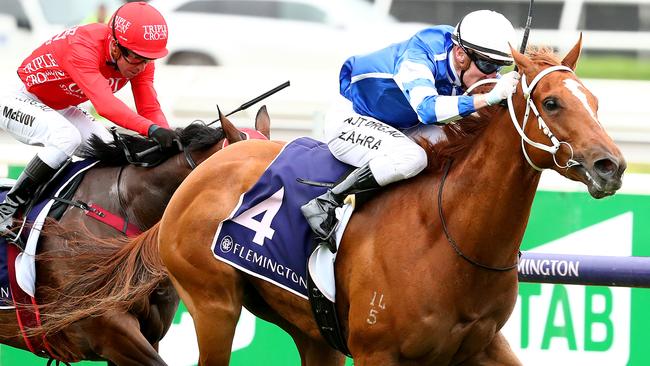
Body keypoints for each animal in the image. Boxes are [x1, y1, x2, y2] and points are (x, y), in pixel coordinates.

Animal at [44, 38, 624, 364]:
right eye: (552, 101)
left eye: (596, 101)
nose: (611, 165)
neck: (451, 236)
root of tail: (203, 171)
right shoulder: (377, 353)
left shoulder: (482, 347)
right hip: (213, 306)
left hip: (312, 331)